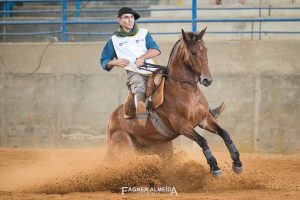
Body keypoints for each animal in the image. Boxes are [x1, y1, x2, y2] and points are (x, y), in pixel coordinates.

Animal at [105, 27, 241, 176]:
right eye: (193, 52)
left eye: (205, 50)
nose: (207, 79)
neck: (186, 89)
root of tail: (111, 120)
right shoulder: (181, 125)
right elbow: (202, 140)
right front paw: (215, 167)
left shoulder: (205, 120)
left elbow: (225, 134)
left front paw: (237, 163)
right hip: (124, 148)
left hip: (164, 150)